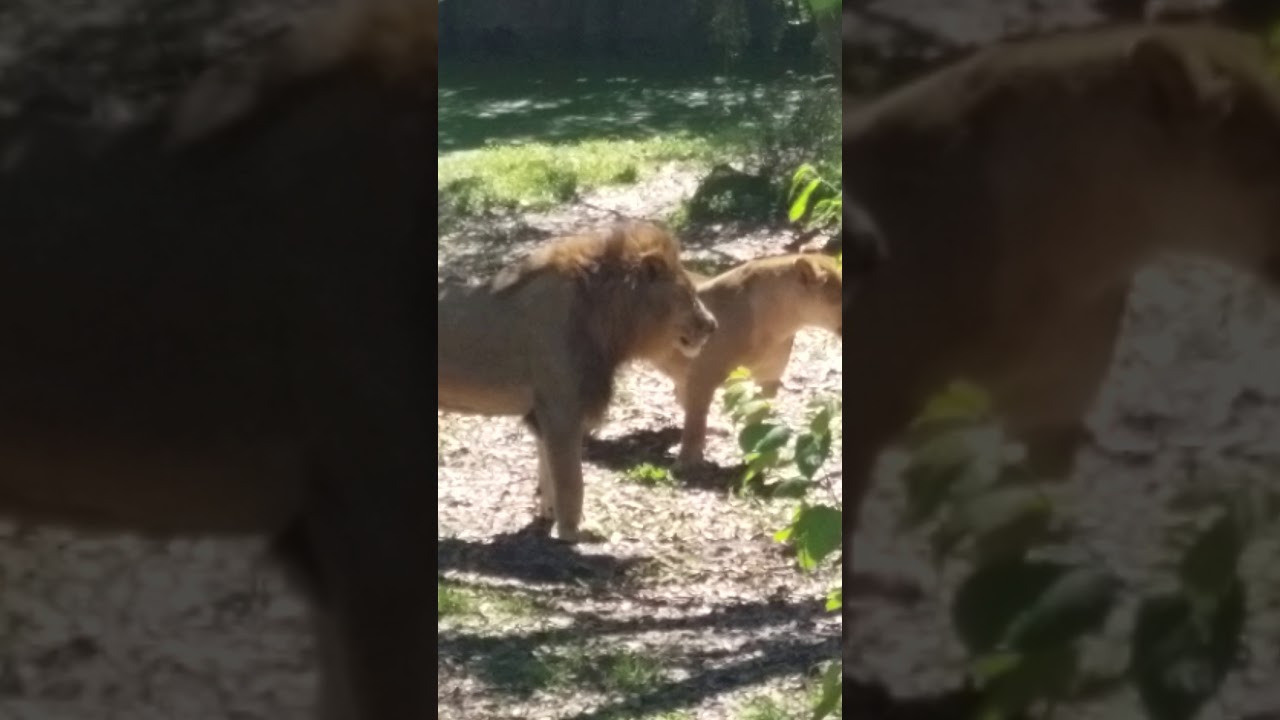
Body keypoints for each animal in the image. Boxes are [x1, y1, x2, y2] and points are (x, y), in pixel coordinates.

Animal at [438, 221, 718, 542]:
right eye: (689, 293)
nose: (713, 325)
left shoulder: (543, 412)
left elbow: (548, 468)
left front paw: (548, 515)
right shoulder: (562, 407)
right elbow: (571, 479)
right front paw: (574, 533)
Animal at [646, 253, 843, 467]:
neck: (779, 324)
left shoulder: (769, 378)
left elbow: (758, 414)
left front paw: (758, 450)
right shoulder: (702, 376)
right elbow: (695, 421)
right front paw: (687, 461)